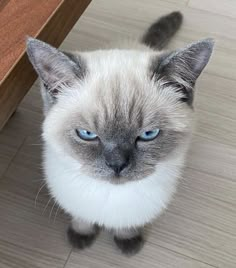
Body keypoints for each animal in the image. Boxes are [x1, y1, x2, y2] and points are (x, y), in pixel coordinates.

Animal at [26, 12, 214, 255]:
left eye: (148, 134)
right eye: (87, 134)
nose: (117, 165)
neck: (111, 197)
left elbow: (127, 225)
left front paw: (128, 242)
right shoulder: (75, 202)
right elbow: (83, 218)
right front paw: (80, 236)